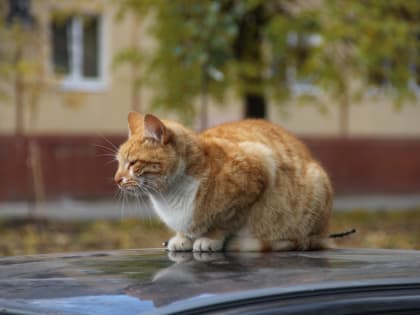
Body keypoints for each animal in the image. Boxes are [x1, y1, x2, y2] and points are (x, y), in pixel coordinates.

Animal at [114, 112, 332, 253]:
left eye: (133, 163)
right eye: (118, 163)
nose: (116, 180)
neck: (169, 196)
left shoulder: (258, 168)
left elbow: (224, 221)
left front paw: (210, 238)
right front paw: (182, 238)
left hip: (314, 189)